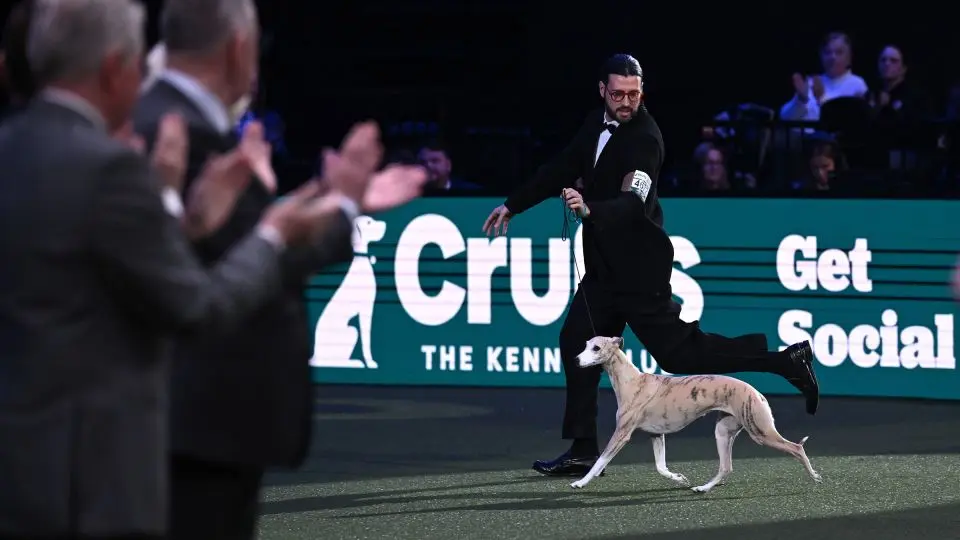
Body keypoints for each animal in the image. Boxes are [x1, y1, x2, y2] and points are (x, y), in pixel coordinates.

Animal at [569, 336, 822, 492]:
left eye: (596, 348)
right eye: (586, 344)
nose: (575, 359)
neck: (632, 381)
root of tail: (756, 393)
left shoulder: (622, 433)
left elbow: (600, 460)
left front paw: (580, 482)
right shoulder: (656, 434)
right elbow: (661, 467)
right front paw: (679, 478)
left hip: (760, 432)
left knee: (796, 448)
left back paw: (814, 476)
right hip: (723, 431)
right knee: (726, 467)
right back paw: (703, 488)